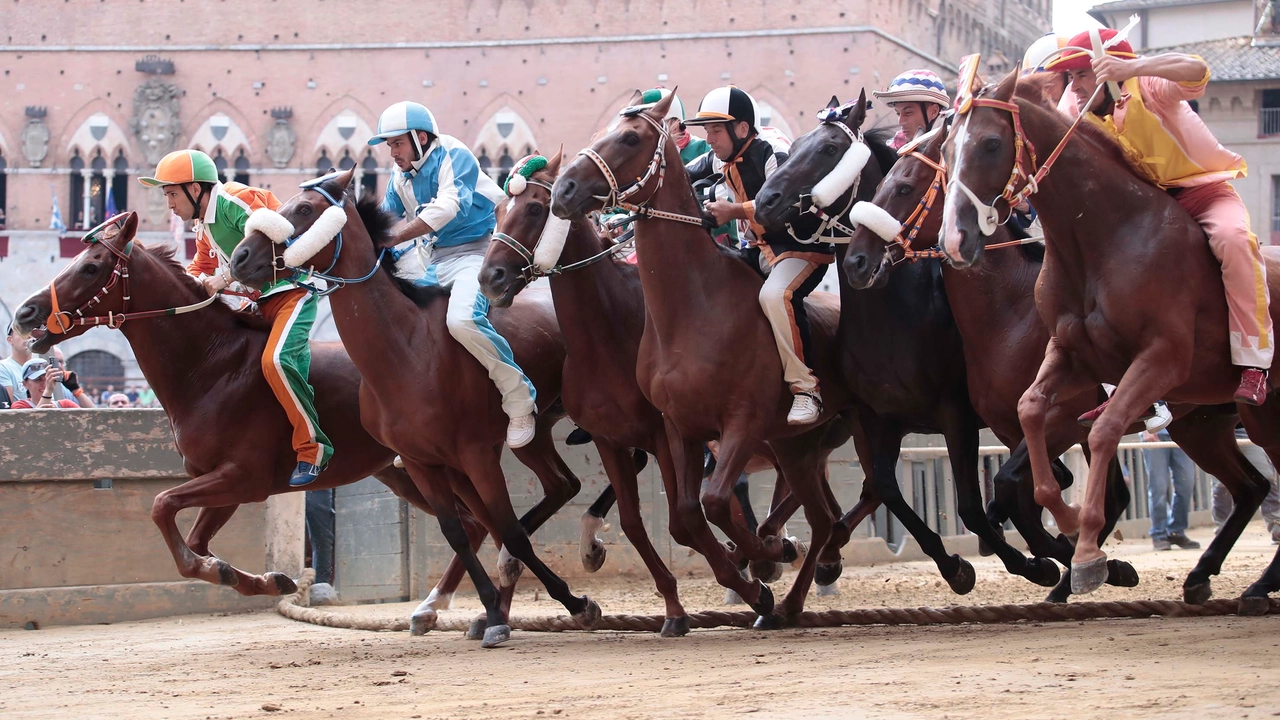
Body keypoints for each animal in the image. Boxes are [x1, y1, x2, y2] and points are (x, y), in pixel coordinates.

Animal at [11, 210, 509, 625]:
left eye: (92, 266)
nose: (25, 311)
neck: (210, 365)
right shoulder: (222, 482)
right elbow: (194, 543)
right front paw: (261, 578)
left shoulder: (243, 477)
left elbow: (163, 509)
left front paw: (244, 574)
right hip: (402, 470)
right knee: (472, 524)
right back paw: (439, 606)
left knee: (481, 522)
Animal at [231, 167, 604, 645]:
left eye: (304, 208)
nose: (240, 257)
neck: (406, 353)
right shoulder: (421, 461)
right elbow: (459, 532)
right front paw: (490, 610)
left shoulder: (477, 453)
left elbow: (509, 531)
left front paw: (575, 604)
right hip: (534, 434)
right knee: (561, 486)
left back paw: (589, 546)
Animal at [545, 90, 875, 622]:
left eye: (630, 138)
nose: (565, 189)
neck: (692, 312)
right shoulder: (680, 428)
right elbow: (686, 513)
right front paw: (754, 575)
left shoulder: (742, 421)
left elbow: (716, 501)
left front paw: (766, 559)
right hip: (796, 447)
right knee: (825, 519)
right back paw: (791, 598)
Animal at [747, 101, 1059, 594]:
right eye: (792, 148)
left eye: (830, 148)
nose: (765, 201)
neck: (893, 316)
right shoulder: (876, 418)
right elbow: (888, 489)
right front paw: (955, 566)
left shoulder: (956, 416)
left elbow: (970, 505)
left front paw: (1030, 564)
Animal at [942, 67, 1280, 607]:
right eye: (947, 148)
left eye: (992, 143)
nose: (954, 240)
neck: (1106, 238)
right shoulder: (1070, 353)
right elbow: (1030, 412)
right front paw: (1068, 523)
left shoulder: (1160, 358)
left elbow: (1102, 431)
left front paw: (1085, 554)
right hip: (1204, 422)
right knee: (1250, 486)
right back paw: (1216, 576)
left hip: (1257, 410)